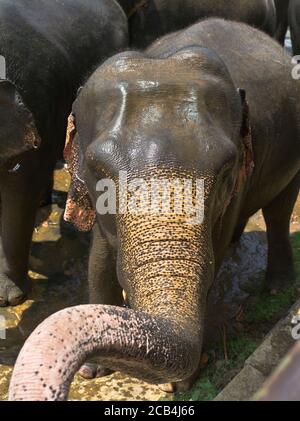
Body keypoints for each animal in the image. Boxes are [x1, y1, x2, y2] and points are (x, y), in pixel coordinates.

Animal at [8, 18, 300, 400]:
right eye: (99, 172)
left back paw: (277, 287)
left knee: (279, 211)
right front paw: (93, 371)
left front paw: (180, 383)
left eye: (225, 170)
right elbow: (99, 259)